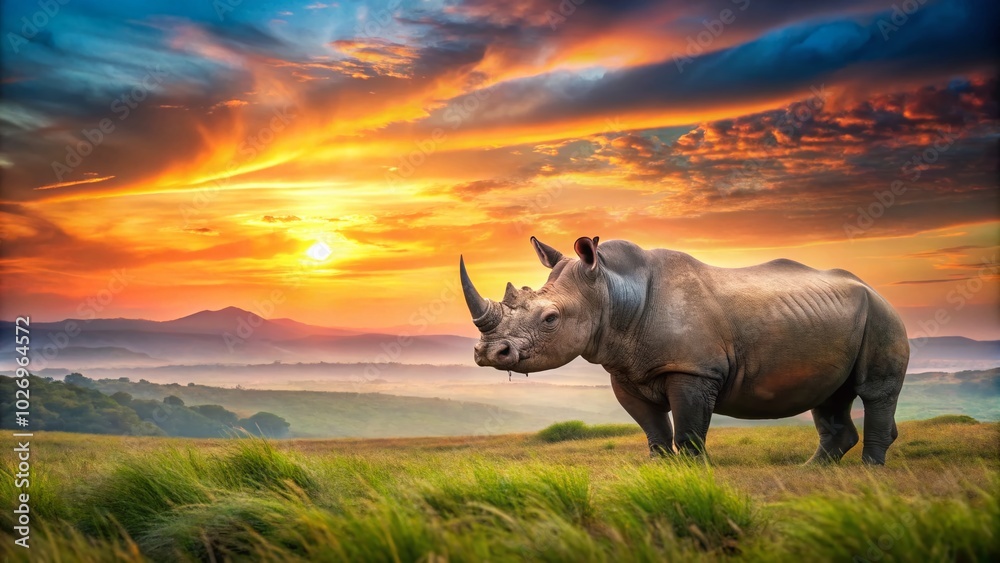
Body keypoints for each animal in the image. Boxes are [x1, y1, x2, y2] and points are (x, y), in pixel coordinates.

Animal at [460, 236, 909, 465]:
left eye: (550, 318)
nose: (489, 352)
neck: (612, 291)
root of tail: (875, 288)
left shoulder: (693, 369)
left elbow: (690, 430)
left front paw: (693, 474)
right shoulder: (625, 371)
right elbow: (654, 430)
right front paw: (660, 471)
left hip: (882, 315)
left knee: (874, 392)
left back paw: (869, 473)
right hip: (837, 320)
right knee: (828, 396)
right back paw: (813, 471)